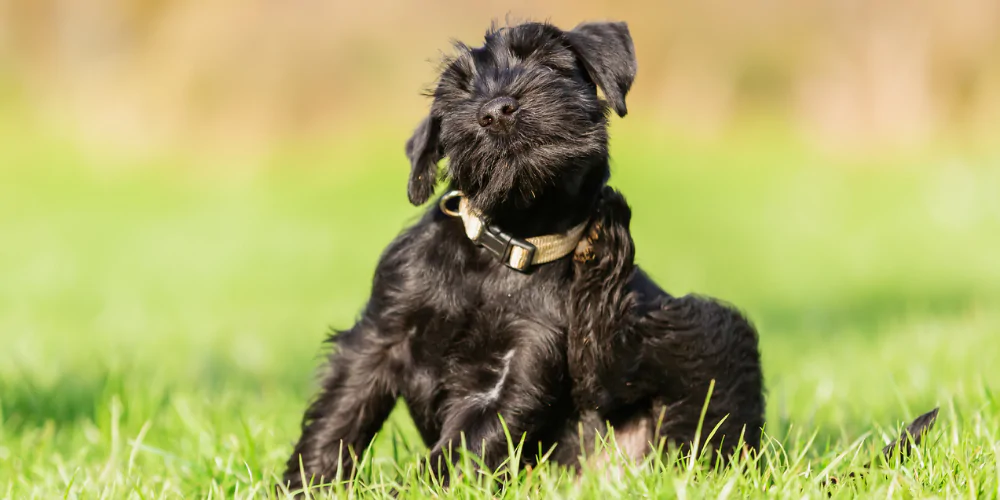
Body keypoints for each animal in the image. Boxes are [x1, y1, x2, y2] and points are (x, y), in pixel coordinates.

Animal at [282, 20, 764, 492]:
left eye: (546, 62)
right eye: (458, 93)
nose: (496, 110)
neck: (510, 241)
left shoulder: (525, 361)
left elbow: (467, 443)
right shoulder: (381, 334)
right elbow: (342, 413)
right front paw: (305, 484)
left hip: (705, 332)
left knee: (615, 374)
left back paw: (607, 248)